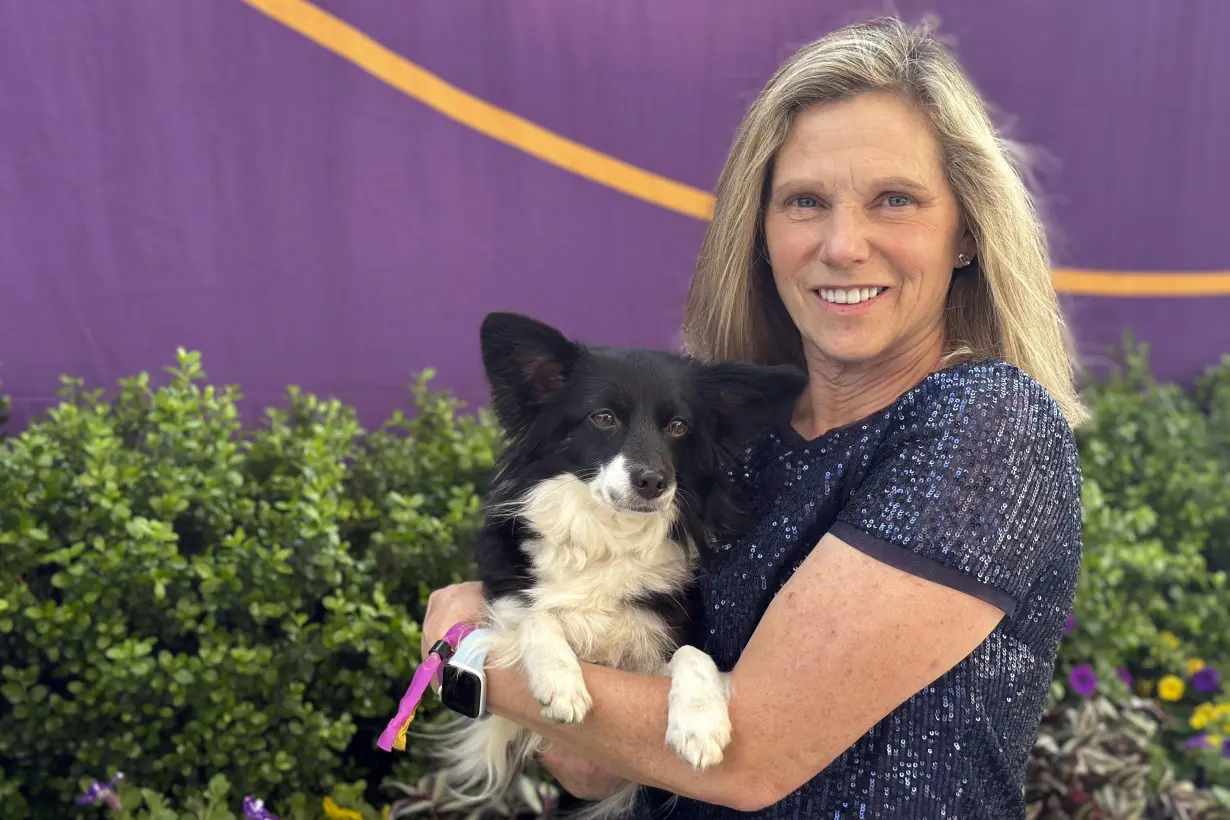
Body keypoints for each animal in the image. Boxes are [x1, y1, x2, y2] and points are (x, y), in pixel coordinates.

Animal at [432, 311, 806, 816]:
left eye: (679, 426)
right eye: (603, 418)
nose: (653, 481)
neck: (608, 535)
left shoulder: (653, 653)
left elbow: (693, 653)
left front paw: (699, 722)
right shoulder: (503, 610)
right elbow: (536, 618)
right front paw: (561, 680)